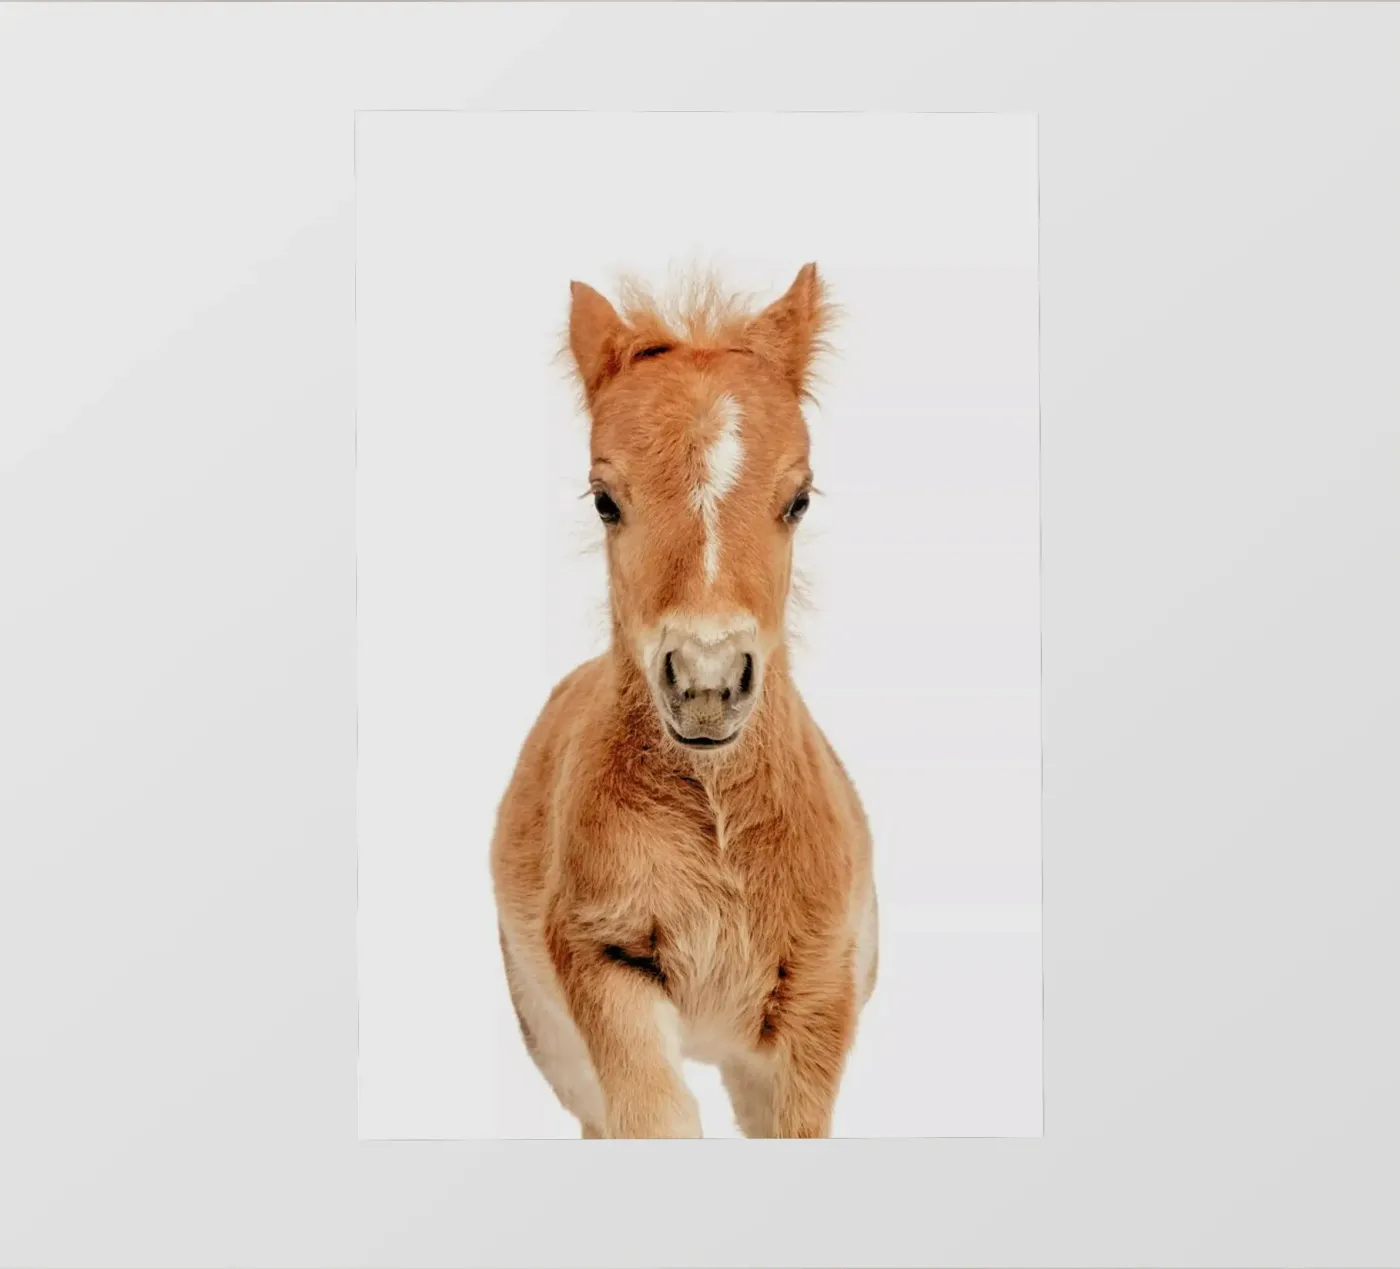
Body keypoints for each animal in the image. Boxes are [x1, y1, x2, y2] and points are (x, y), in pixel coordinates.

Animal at [490, 263, 877, 1138]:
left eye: (799, 498)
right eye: (605, 498)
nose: (705, 683)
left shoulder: (819, 998)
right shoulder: (602, 959)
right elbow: (654, 1118)